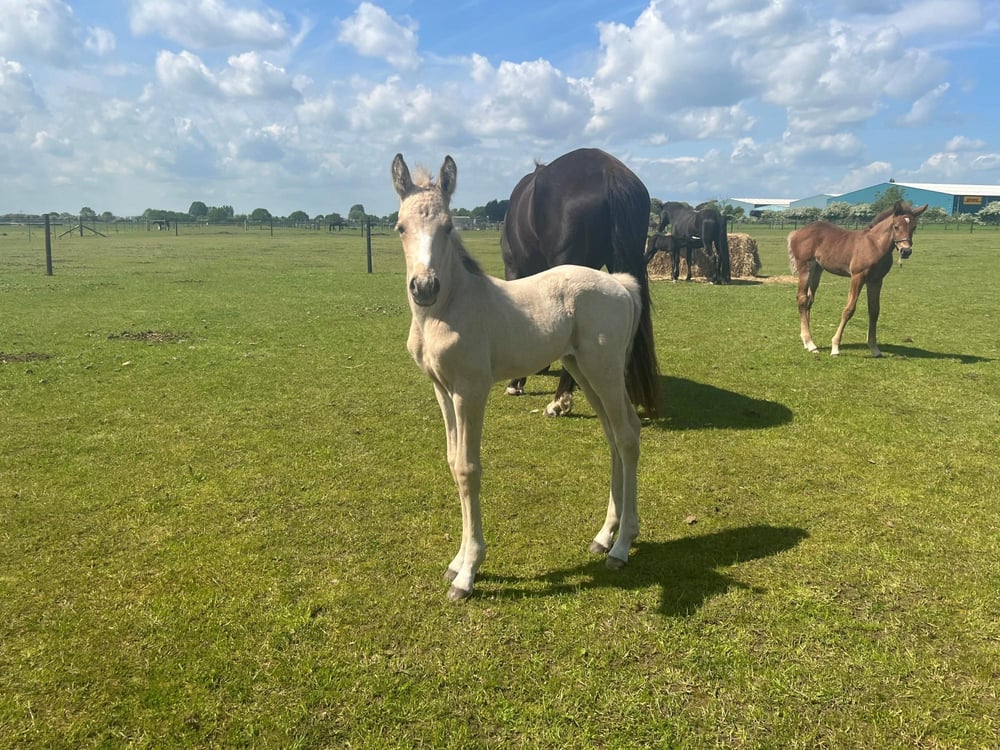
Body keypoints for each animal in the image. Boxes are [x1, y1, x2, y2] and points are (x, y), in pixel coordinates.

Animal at [788, 201, 928, 356]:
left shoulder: (876, 280)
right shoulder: (857, 277)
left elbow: (874, 311)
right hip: (805, 267)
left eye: (914, 227)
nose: (906, 251)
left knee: (809, 300)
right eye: (896, 226)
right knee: (802, 299)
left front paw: (874, 348)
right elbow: (849, 309)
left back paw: (806, 341)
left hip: (817, 270)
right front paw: (835, 347)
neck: (875, 245)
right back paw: (811, 343)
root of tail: (797, 232)